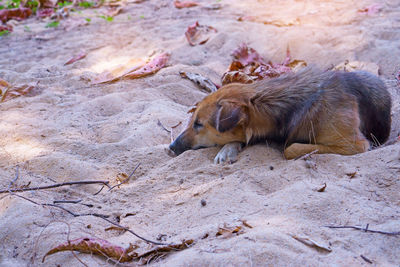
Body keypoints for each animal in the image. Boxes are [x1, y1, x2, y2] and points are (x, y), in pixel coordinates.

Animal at [168, 67, 390, 163]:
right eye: (192, 120)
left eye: (198, 124)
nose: (171, 147)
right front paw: (228, 149)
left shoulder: (353, 144)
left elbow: (290, 148)